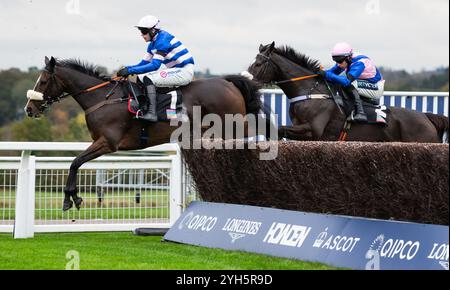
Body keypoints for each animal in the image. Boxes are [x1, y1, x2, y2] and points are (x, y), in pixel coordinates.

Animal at [25, 56, 270, 211]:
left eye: (43, 81)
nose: (29, 109)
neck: (103, 98)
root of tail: (228, 82)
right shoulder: (100, 142)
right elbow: (76, 163)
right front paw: (73, 197)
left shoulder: (108, 143)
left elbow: (75, 162)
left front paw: (70, 199)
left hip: (232, 128)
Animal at [248, 41, 448, 143]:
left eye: (258, 64)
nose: (245, 78)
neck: (312, 93)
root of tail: (426, 117)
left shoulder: (313, 131)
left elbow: (280, 127)